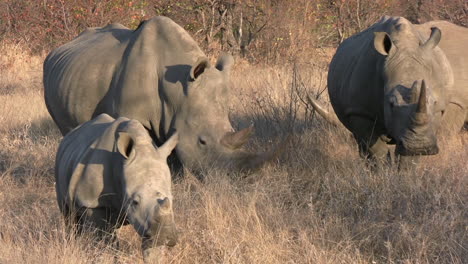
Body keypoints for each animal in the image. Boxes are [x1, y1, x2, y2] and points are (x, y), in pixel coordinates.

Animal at [55, 114, 179, 262]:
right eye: (135, 202)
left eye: (171, 199)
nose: (166, 236)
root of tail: (69, 136)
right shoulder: (92, 203)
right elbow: (104, 241)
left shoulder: (150, 225)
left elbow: (152, 250)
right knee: (70, 218)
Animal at [308, 16, 466, 165]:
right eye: (391, 104)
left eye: (434, 102)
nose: (419, 146)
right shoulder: (360, 112)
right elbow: (377, 151)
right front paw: (382, 172)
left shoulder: (445, 108)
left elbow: (409, 156)